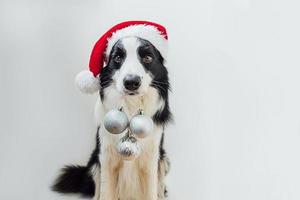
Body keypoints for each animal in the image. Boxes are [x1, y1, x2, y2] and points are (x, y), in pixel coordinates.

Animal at [52, 21, 172, 199]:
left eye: (147, 57)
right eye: (117, 58)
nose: (131, 82)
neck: (130, 108)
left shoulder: (151, 157)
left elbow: (151, 191)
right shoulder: (106, 157)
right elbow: (105, 192)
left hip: (164, 161)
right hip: (94, 162)